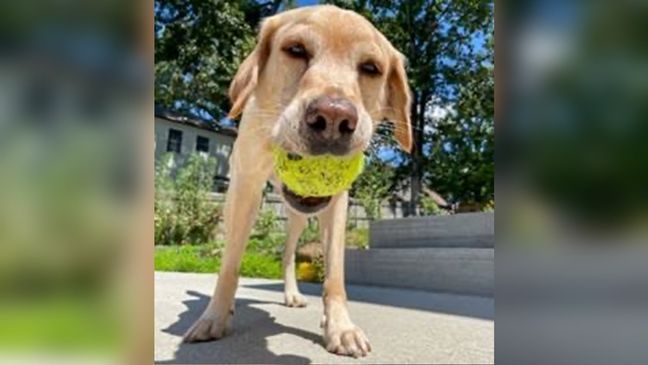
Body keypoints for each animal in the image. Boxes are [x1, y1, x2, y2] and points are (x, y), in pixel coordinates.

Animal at [182, 4, 410, 356]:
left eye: (371, 68)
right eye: (296, 50)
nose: (333, 118)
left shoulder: (338, 203)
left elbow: (334, 275)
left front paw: (340, 327)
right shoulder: (247, 186)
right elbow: (230, 265)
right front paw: (214, 317)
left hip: (299, 219)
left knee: (288, 253)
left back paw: (291, 293)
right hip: (238, 202)